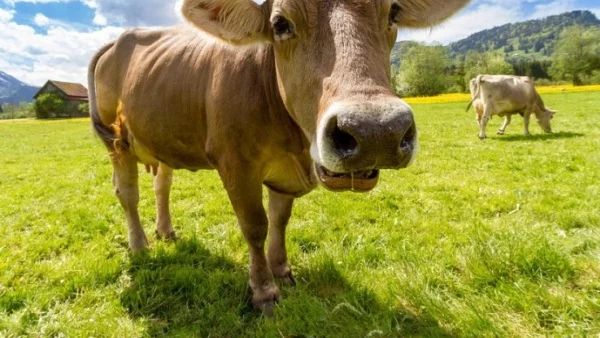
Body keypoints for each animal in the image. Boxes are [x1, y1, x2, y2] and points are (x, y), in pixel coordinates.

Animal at [89, 0, 472, 312]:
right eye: (280, 23)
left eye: (393, 12)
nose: (375, 131)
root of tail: (119, 39)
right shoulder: (235, 165)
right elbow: (255, 226)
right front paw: (263, 290)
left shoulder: (284, 174)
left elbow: (280, 219)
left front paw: (282, 270)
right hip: (117, 141)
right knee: (127, 194)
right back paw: (140, 245)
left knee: (162, 185)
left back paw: (166, 231)